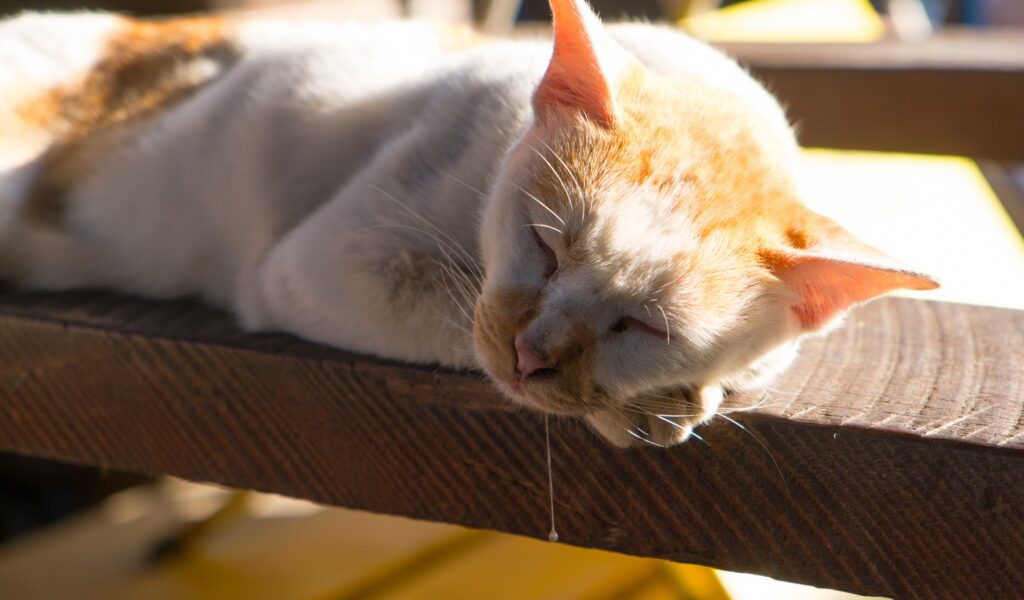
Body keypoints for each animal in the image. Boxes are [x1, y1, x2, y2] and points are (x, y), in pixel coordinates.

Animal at [0, 0, 937, 446]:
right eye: (544, 244)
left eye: (645, 326)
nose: (532, 356)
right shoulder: (313, 264)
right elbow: (453, 316)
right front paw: (643, 410)